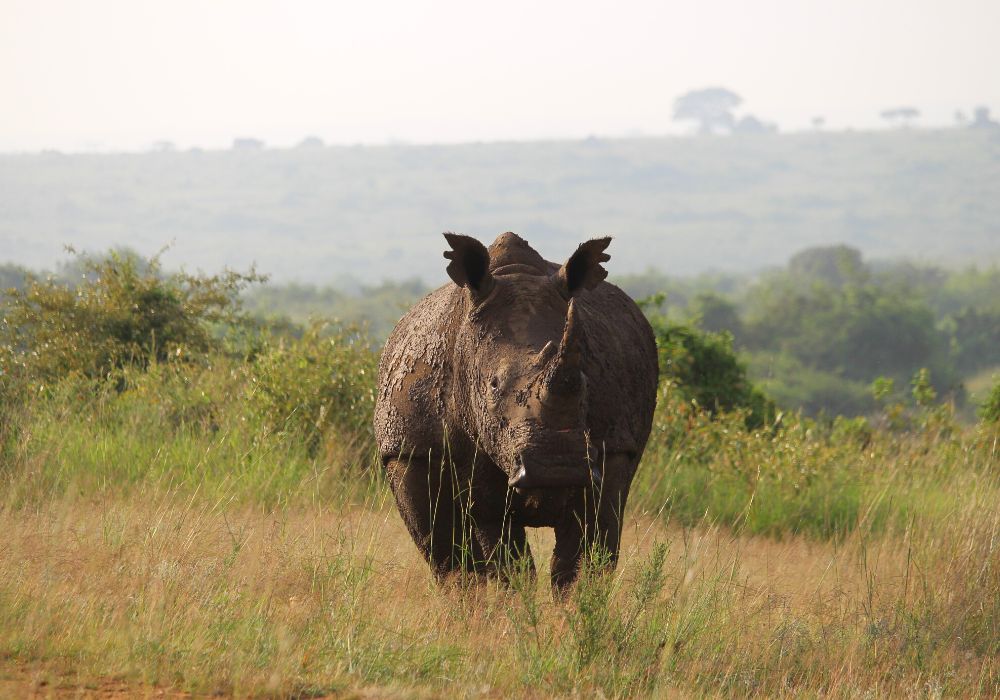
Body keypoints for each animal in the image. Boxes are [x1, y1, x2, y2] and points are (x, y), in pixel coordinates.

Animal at [376, 232, 656, 588]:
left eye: (584, 383)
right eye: (493, 385)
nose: (556, 466)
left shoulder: (612, 447)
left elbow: (585, 559)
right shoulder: (414, 448)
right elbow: (457, 556)